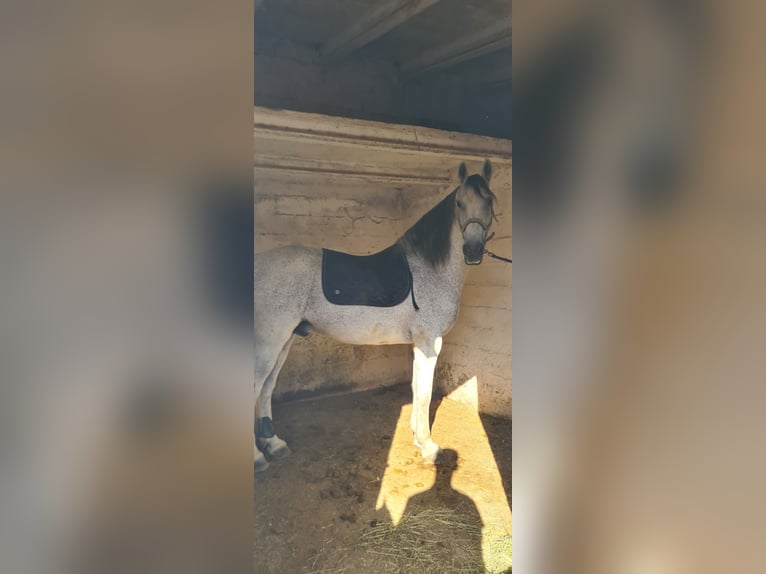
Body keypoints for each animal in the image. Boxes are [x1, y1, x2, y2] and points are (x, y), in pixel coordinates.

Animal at [255, 161, 500, 472]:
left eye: (489, 200)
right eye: (459, 203)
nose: (472, 250)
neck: (430, 270)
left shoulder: (418, 344)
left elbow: (416, 387)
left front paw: (416, 435)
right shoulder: (429, 343)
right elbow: (424, 392)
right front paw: (428, 446)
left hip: (284, 340)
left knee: (266, 387)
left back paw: (273, 444)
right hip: (270, 341)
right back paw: (257, 457)